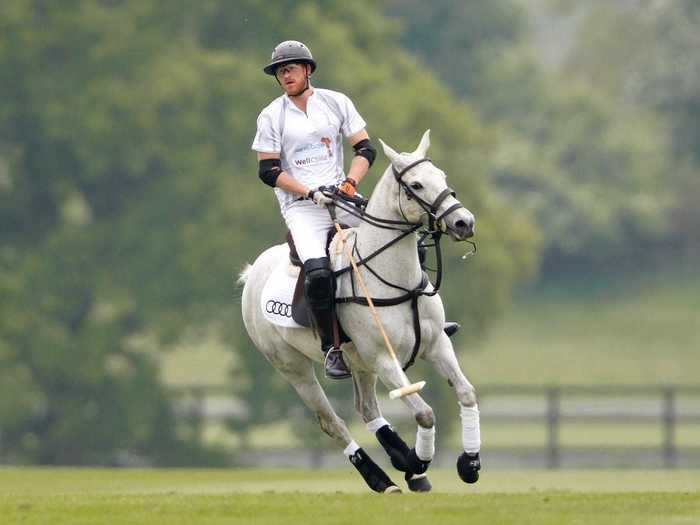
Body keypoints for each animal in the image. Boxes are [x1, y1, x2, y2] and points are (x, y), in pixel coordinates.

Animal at [241, 131, 482, 492]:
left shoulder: (437, 344)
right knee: (332, 422)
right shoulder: (383, 357)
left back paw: (404, 463)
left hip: (359, 362)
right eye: (416, 184)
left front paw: (468, 463)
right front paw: (420, 458)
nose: (463, 222)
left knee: (366, 409)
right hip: (292, 366)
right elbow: (424, 412)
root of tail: (253, 270)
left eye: (442, 176)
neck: (398, 281)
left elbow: (466, 393)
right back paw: (383, 477)